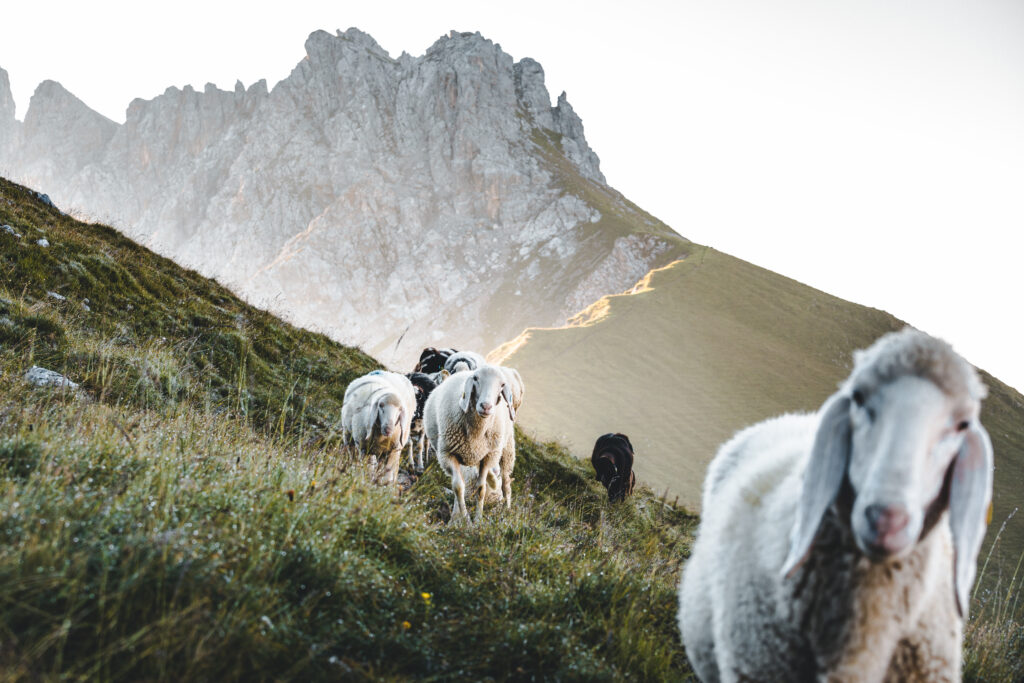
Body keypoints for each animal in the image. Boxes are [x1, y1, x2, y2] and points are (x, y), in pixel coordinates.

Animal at [423, 362, 520, 524]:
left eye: (502, 385)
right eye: (476, 378)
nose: (486, 406)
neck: (477, 433)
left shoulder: (487, 458)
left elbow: (481, 488)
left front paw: (478, 521)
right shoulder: (447, 455)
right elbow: (458, 487)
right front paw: (465, 520)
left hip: (506, 451)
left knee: (506, 484)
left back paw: (506, 510)